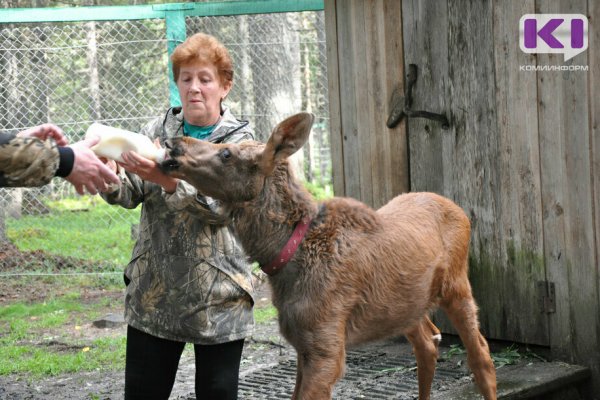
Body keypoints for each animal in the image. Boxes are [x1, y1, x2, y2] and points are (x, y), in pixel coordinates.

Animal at [159, 112, 496, 400]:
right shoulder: (302, 345)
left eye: (226, 153)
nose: (173, 143)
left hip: (457, 287)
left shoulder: (326, 347)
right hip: (406, 307)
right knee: (428, 344)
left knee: (481, 356)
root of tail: (460, 211)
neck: (284, 258)